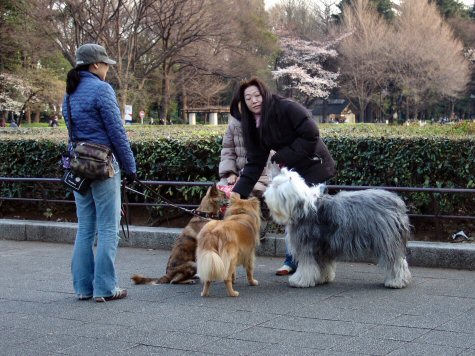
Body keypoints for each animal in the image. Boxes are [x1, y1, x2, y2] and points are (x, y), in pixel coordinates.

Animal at [264, 168, 412, 290]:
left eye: (275, 186)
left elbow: (307, 265)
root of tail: (398, 203)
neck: (303, 207)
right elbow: (323, 265)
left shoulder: (308, 245)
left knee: (395, 261)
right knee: (401, 261)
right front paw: (323, 278)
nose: (264, 196)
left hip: (386, 240)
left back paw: (396, 282)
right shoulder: (323, 247)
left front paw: (299, 281)